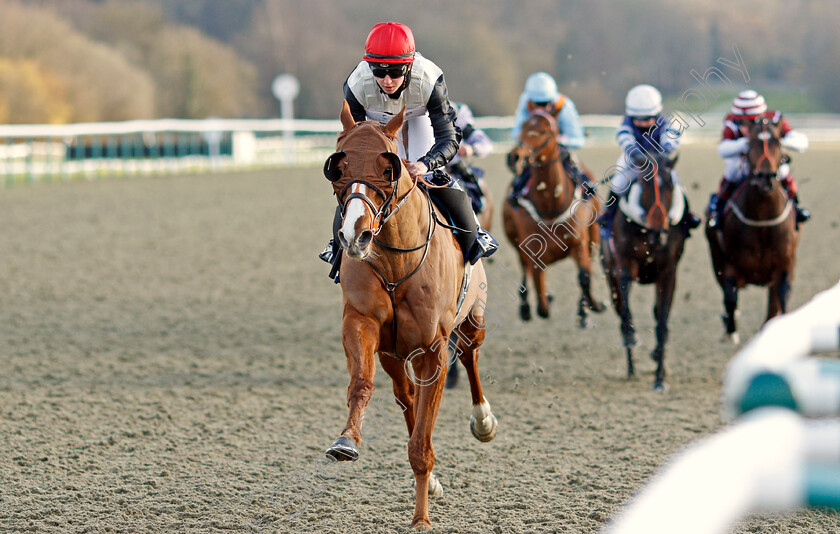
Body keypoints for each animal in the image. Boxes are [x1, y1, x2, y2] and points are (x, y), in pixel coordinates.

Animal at [324, 101, 498, 532]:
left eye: (387, 167)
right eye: (339, 164)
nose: (355, 235)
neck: (394, 261)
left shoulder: (434, 347)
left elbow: (422, 439)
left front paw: (421, 518)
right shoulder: (362, 323)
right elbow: (362, 385)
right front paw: (345, 441)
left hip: (473, 319)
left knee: (469, 355)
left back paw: (483, 421)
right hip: (394, 353)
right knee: (406, 397)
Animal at [502, 112, 608, 328]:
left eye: (544, 130)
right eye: (523, 127)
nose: (514, 157)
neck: (550, 208)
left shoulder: (580, 243)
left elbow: (585, 277)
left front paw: (589, 308)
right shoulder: (533, 250)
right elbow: (540, 299)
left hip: (593, 236)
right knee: (524, 270)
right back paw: (525, 307)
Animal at [604, 153, 688, 392]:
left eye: (669, 185)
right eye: (644, 184)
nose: (659, 231)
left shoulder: (668, 274)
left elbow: (661, 323)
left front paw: (659, 378)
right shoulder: (624, 268)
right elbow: (627, 313)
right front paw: (632, 338)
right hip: (610, 275)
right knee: (620, 310)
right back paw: (631, 368)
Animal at [704, 116, 800, 344]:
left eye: (778, 143)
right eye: (749, 145)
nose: (765, 177)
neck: (762, 221)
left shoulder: (785, 265)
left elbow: (780, 300)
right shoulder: (728, 265)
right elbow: (730, 297)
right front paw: (730, 332)